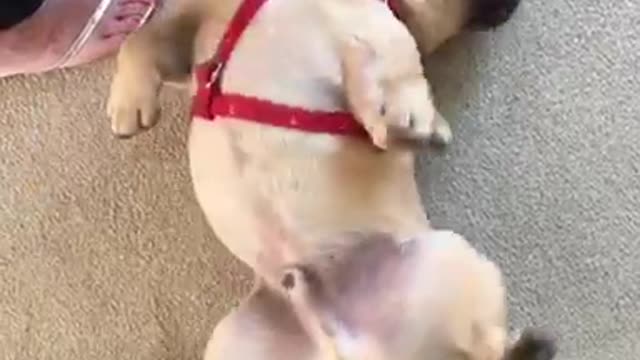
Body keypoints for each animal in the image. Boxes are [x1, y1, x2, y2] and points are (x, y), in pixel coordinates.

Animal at [106, 0, 556, 360]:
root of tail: (351, 347)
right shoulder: (192, 30)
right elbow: (142, 39)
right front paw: (129, 101)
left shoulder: (383, 27)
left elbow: (396, 65)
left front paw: (402, 115)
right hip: (233, 341)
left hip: (448, 256)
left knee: (485, 348)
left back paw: (527, 345)